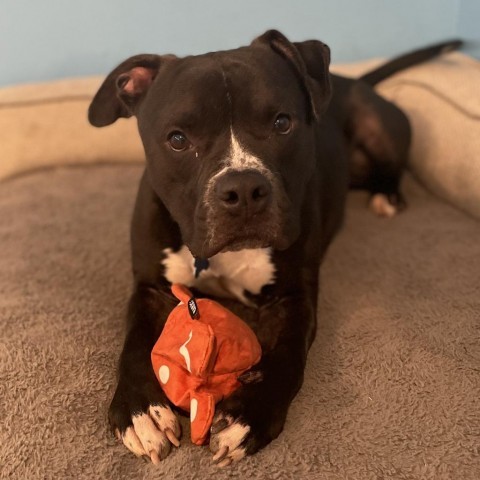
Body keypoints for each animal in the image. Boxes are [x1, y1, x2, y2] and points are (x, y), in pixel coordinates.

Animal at [89, 30, 462, 464]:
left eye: (282, 123)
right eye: (177, 139)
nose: (243, 190)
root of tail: (355, 80)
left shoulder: (294, 296)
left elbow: (287, 355)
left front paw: (249, 414)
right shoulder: (150, 288)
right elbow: (133, 342)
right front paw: (140, 410)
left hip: (378, 124)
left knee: (391, 166)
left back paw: (387, 195)